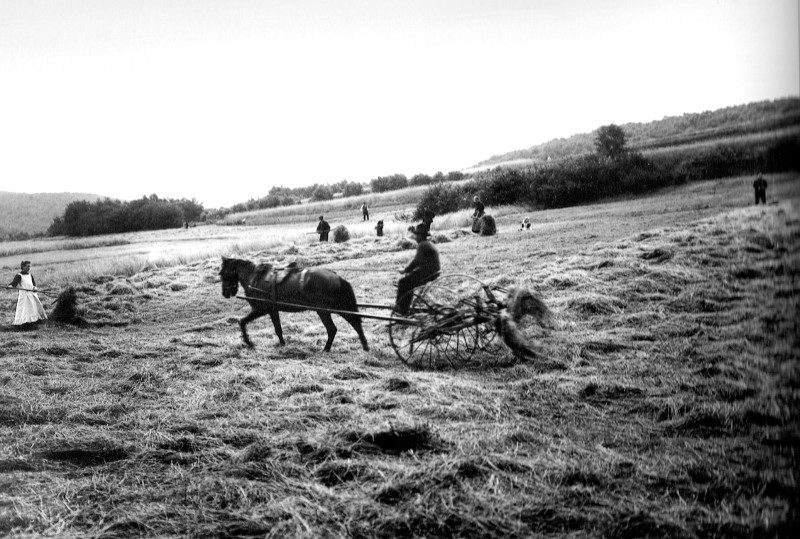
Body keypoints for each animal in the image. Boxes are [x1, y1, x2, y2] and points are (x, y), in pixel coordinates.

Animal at [219, 258, 368, 354]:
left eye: (223, 273)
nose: (225, 293)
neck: (256, 278)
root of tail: (338, 278)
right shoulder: (273, 310)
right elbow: (278, 329)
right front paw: (283, 345)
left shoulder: (261, 309)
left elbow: (242, 322)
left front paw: (248, 342)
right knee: (353, 324)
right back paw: (364, 346)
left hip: (326, 310)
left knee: (336, 328)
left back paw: (327, 349)